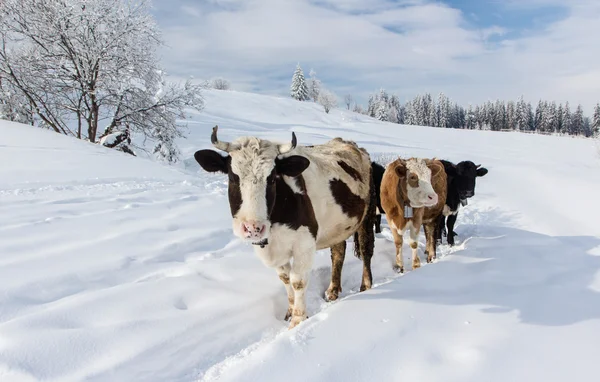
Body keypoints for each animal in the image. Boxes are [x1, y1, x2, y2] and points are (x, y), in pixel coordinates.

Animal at [193, 127, 376, 330]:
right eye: (233, 177)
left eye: (272, 178)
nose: (252, 227)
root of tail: (349, 143)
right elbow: (285, 278)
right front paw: (289, 311)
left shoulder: (304, 244)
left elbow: (298, 281)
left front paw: (297, 321)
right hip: (338, 226)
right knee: (338, 253)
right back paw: (332, 291)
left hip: (367, 216)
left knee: (366, 250)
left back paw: (366, 286)